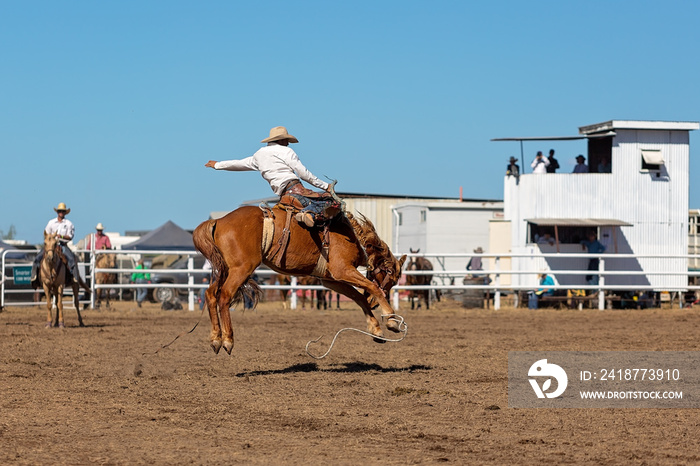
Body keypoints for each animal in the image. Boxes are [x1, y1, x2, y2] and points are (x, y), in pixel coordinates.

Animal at [194, 206, 408, 354]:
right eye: (392, 277)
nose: (375, 304)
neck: (353, 237)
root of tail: (219, 221)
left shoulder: (331, 280)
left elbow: (359, 297)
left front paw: (376, 330)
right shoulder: (342, 270)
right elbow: (372, 287)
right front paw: (391, 320)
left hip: (225, 269)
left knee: (210, 294)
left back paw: (215, 339)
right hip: (241, 269)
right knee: (224, 296)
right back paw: (228, 340)